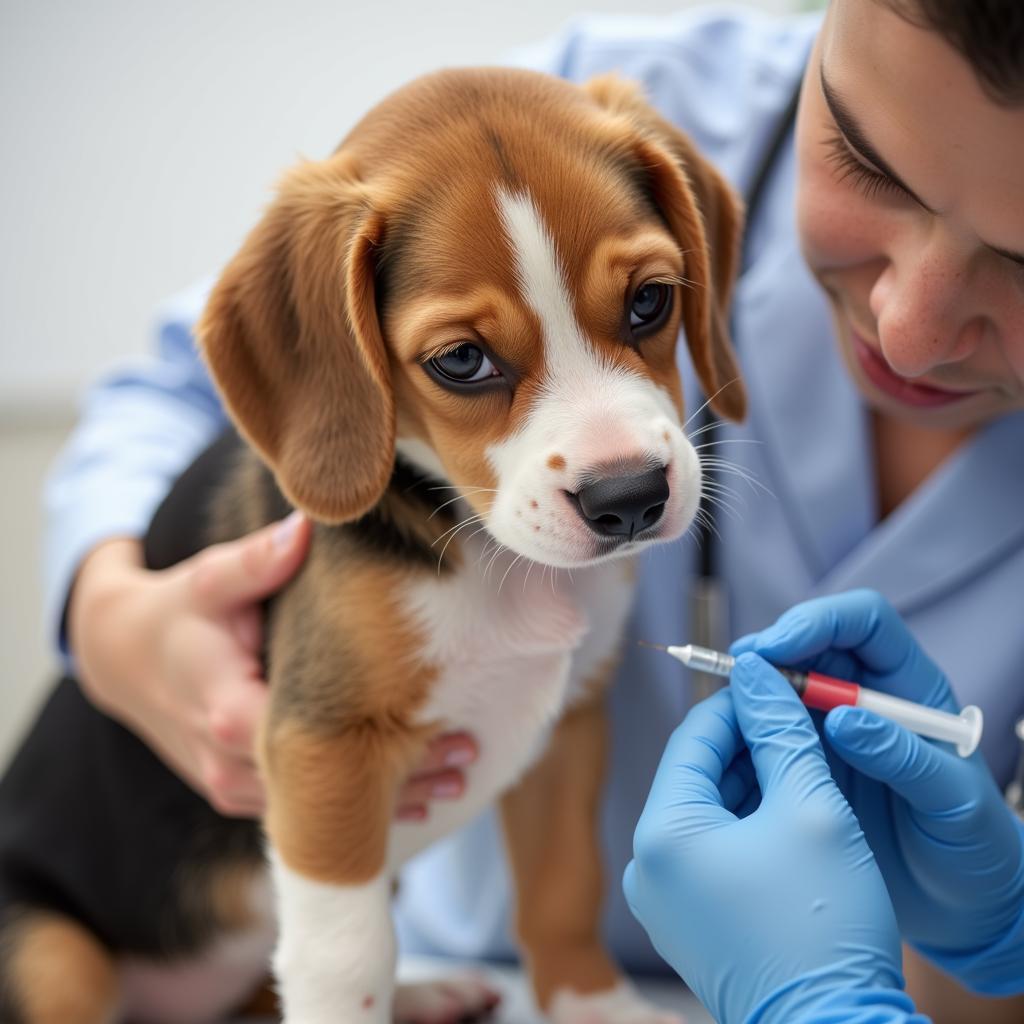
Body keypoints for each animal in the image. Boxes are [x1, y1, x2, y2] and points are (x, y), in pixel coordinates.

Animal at [0, 68, 745, 1019]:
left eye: (651, 300)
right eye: (461, 361)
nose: (630, 499)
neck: (487, 556)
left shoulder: (568, 727)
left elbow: (562, 885)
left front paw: (593, 1005)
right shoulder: (325, 750)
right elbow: (346, 957)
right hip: (51, 953)